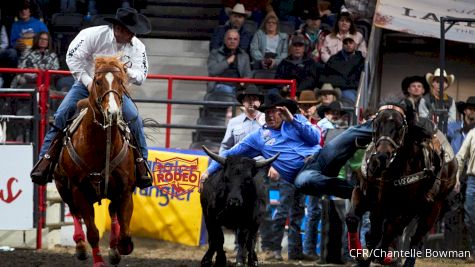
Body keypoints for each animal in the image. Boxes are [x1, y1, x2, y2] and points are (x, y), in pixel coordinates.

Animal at [53, 55, 136, 266]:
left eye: (121, 81)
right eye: (98, 82)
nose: (112, 113)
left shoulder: (125, 190)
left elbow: (125, 233)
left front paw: (119, 247)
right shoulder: (79, 190)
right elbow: (92, 232)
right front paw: (98, 260)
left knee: (113, 213)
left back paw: (113, 248)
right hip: (63, 186)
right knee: (74, 212)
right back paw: (80, 246)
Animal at [348, 104, 460, 267]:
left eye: (399, 127)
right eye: (376, 123)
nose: (381, 156)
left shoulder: (403, 208)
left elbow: (387, 232)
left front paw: (382, 256)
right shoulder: (365, 194)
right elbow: (355, 220)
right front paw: (360, 256)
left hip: (433, 208)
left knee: (415, 239)